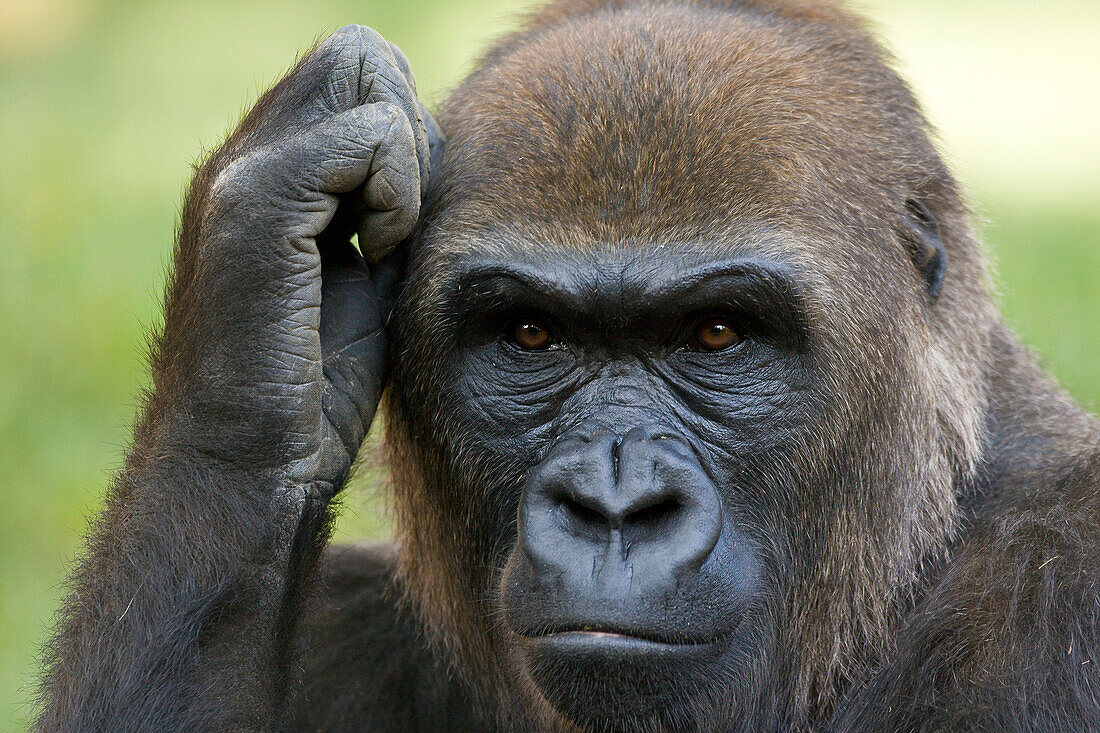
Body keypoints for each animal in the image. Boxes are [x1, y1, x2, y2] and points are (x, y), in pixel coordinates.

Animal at [32, 1, 1100, 730]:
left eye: (718, 334)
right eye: (531, 335)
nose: (614, 504)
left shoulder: (1065, 577)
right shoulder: (349, 624)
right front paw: (255, 299)